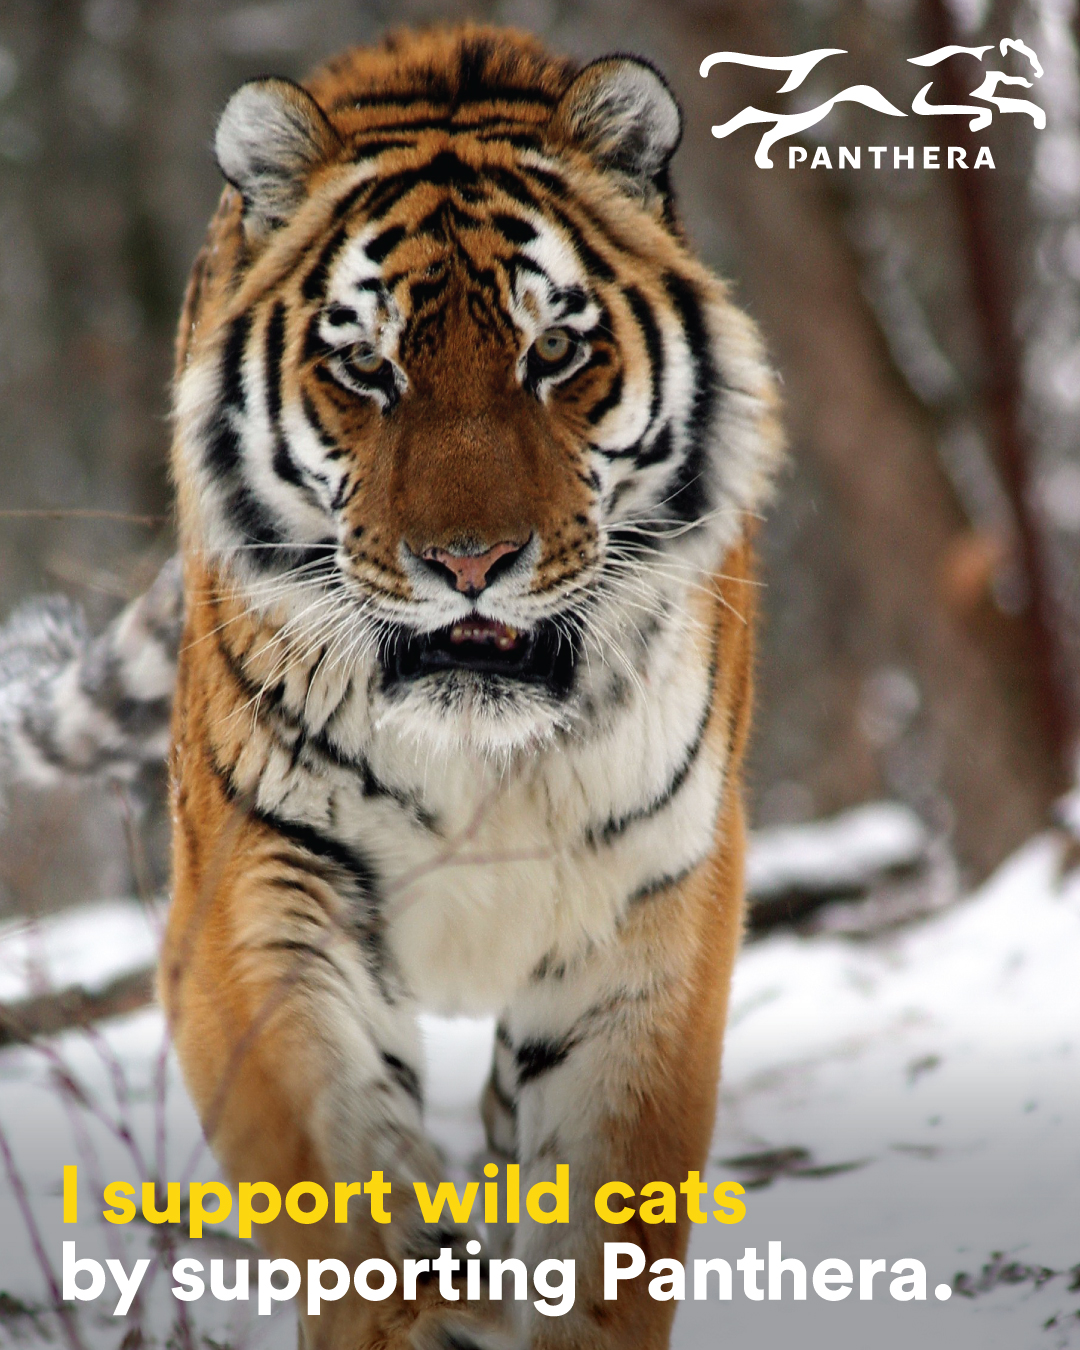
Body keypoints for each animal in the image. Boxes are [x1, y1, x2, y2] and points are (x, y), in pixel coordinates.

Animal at [0, 23, 783, 1350]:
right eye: (365, 367)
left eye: (553, 351)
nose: (469, 563)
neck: (481, 755)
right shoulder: (258, 898)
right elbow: (348, 1189)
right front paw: (420, 1301)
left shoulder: (648, 910)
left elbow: (604, 1235)